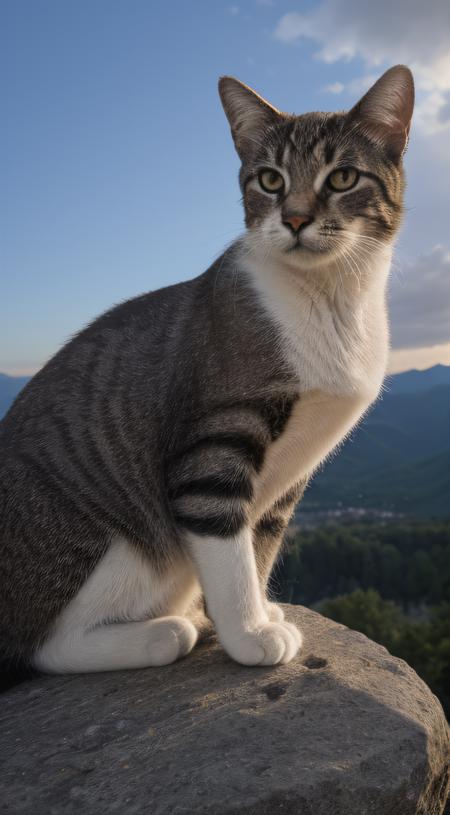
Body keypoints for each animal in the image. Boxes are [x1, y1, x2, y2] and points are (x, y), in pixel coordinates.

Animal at [0, 63, 414, 676]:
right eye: (269, 180)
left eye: (342, 177)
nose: (294, 218)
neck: (330, 300)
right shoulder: (213, 444)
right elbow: (227, 544)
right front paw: (248, 633)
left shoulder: (287, 482)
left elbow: (259, 548)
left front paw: (260, 612)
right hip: (104, 536)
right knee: (45, 646)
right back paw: (166, 632)